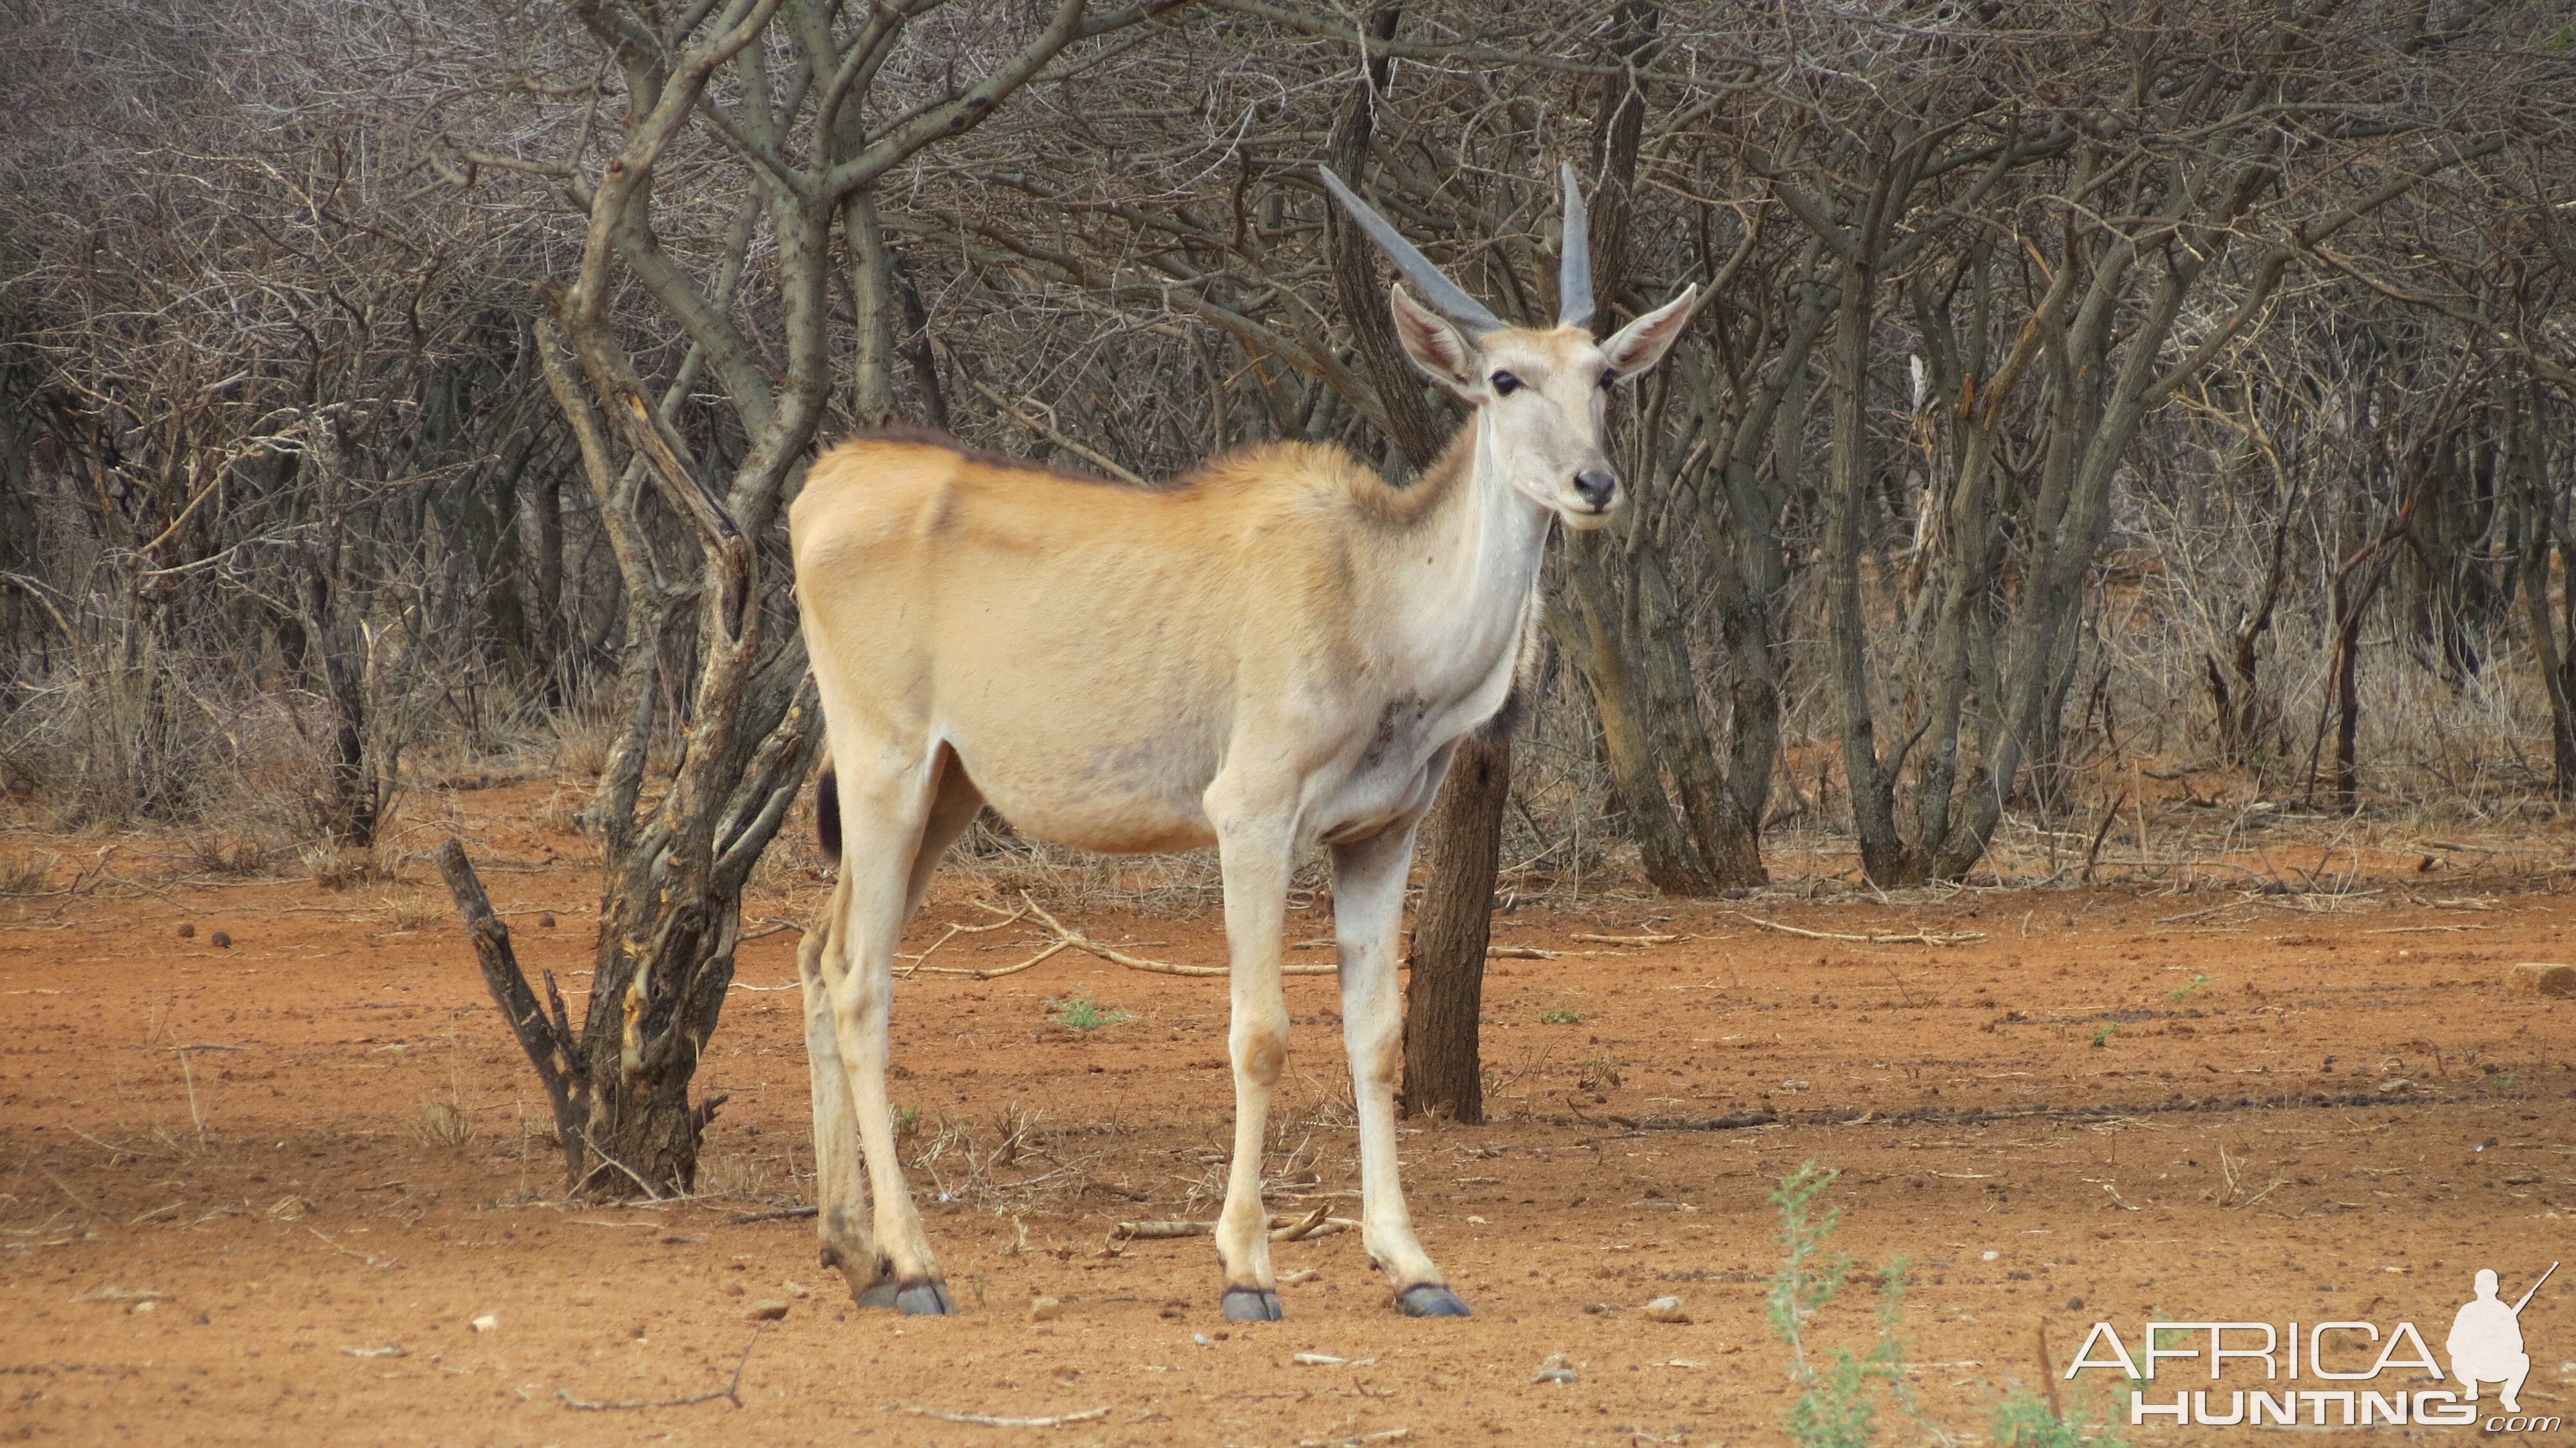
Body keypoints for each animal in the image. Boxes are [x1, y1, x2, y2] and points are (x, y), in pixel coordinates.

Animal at [793, 160, 1700, 1319]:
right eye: (1503, 379)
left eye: (1607, 378)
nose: (1594, 484)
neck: (1377, 594)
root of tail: (831, 481)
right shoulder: (1253, 820)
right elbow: (1261, 1032)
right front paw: (1246, 1267)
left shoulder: (1380, 839)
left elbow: (1377, 1035)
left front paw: (1412, 1265)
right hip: (886, 771)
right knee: (863, 980)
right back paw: (913, 1264)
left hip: (947, 794)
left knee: (821, 957)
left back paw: (853, 1250)